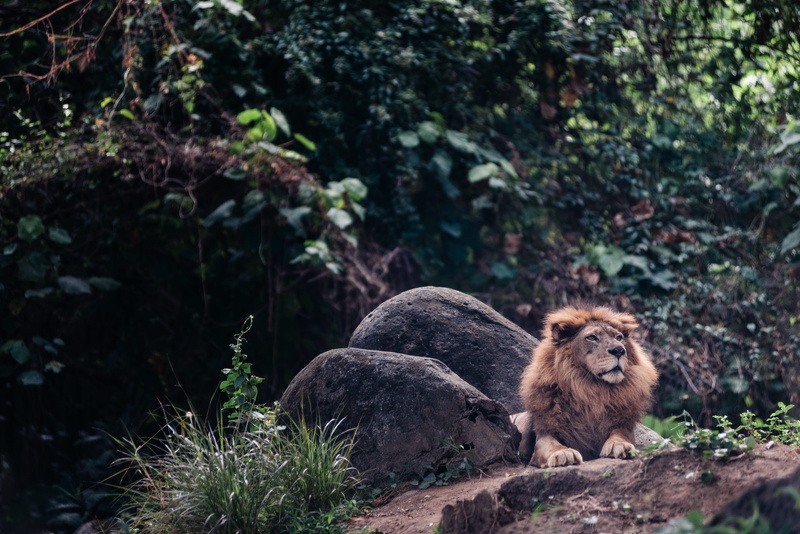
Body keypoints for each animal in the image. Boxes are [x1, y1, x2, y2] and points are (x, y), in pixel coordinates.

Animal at [518, 306, 658, 468]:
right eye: (591, 337)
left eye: (619, 337)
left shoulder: (623, 425)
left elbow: (620, 435)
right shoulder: (544, 434)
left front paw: (619, 445)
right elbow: (551, 444)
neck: (590, 389)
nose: (619, 350)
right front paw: (563, 453)